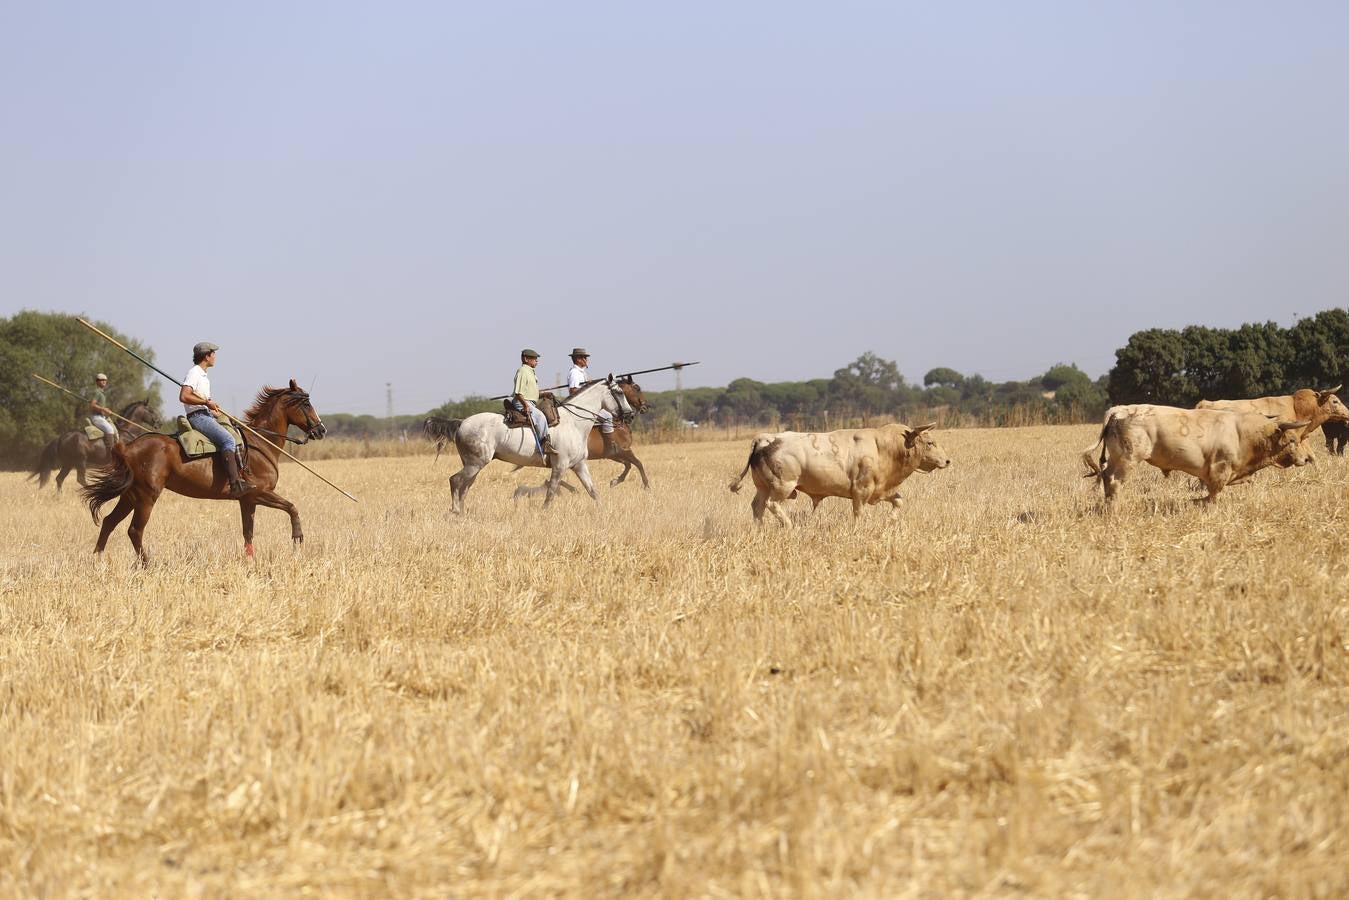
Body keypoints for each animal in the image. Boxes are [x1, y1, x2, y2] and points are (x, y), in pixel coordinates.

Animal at [30, 402, 163, 493]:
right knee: (80, 479)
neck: (127, 432)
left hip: (69, 463)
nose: (159, 423)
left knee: (59, 479)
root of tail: (61, 438)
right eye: (151, 410)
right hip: (80, 462)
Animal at [82, 380, 329, 564]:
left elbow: (248, 531)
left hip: (130, 495)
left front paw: (250, 561)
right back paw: (147, 564)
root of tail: (128, 447)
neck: (260, 443)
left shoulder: (248, 500)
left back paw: (97, 561)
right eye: (306, 404)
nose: (321, 430)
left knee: (109, 522)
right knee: (134, 530)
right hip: (146, 497)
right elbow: (291, 507)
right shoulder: (259, 493)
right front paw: (297, 537)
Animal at [445, 375, 628, 512]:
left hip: (474, 465)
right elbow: (551, 492)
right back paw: (455, 511)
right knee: (455, 480)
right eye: (619, 392)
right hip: (475, 464)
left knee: (465, 486)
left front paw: (604, 512)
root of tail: (461, 423)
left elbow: (593, 491)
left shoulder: (579, 465)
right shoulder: (560, 465)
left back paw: (462, 512)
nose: (630, 413)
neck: (574, 422)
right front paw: (544, 512)